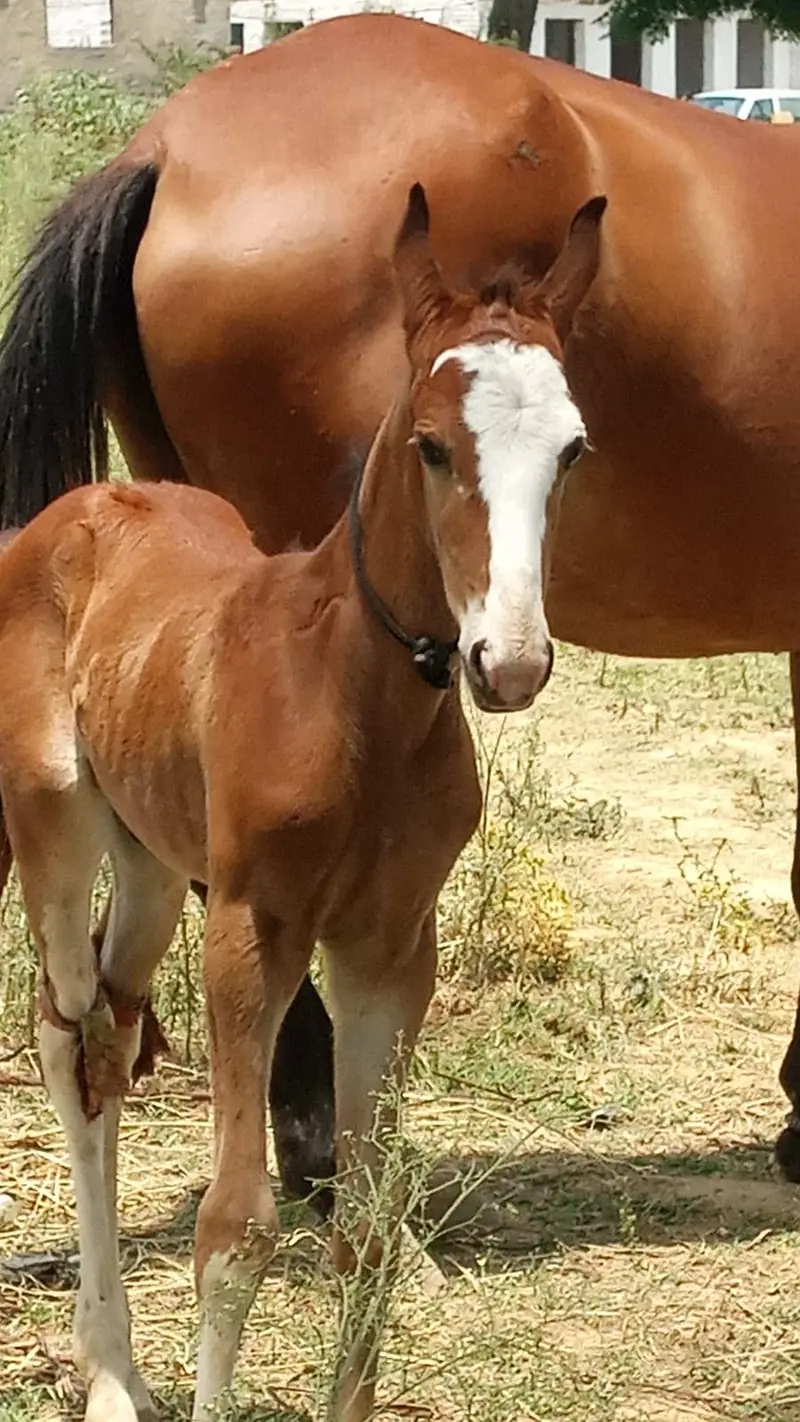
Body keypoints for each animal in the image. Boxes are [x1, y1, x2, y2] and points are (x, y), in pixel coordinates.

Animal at [0, 184, 605, 1422]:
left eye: (569, 448)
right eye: (431, 446)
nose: (508, 662)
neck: (349, 693)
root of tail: (77, 507)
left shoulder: (389, 947)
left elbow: (367, 1227)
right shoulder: (252, 932)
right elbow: (234, 1230)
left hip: (151, 861)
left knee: (112, 1040)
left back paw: (112, 1363)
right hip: (56, 830)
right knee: (63, 1040)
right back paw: (111, 1374)